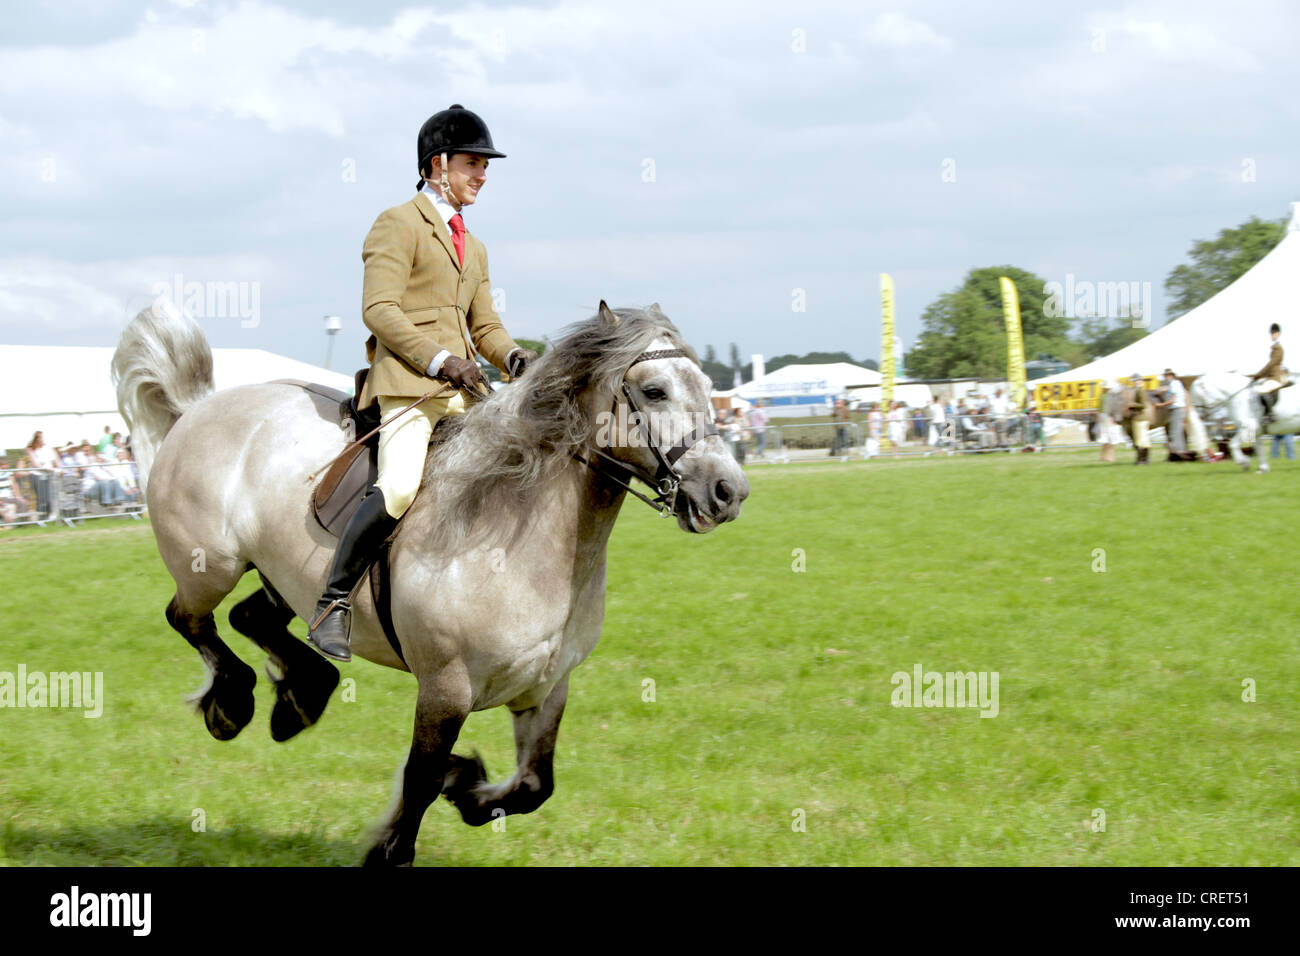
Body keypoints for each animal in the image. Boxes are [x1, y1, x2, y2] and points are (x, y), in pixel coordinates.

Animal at [111, 300, 748, 865]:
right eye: (654, 391)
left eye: (704, 384)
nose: (729, 491)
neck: (524, 530)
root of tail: (198, 408)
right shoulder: (446, 689)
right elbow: (419, 781)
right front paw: (395, 842)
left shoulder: (545, 687)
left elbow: (533, 786)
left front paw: (466, 787)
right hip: (210, 566)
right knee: (189, 618)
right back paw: (233, 702)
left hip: (280, 575)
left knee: (253, 618)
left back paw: (299, 698)